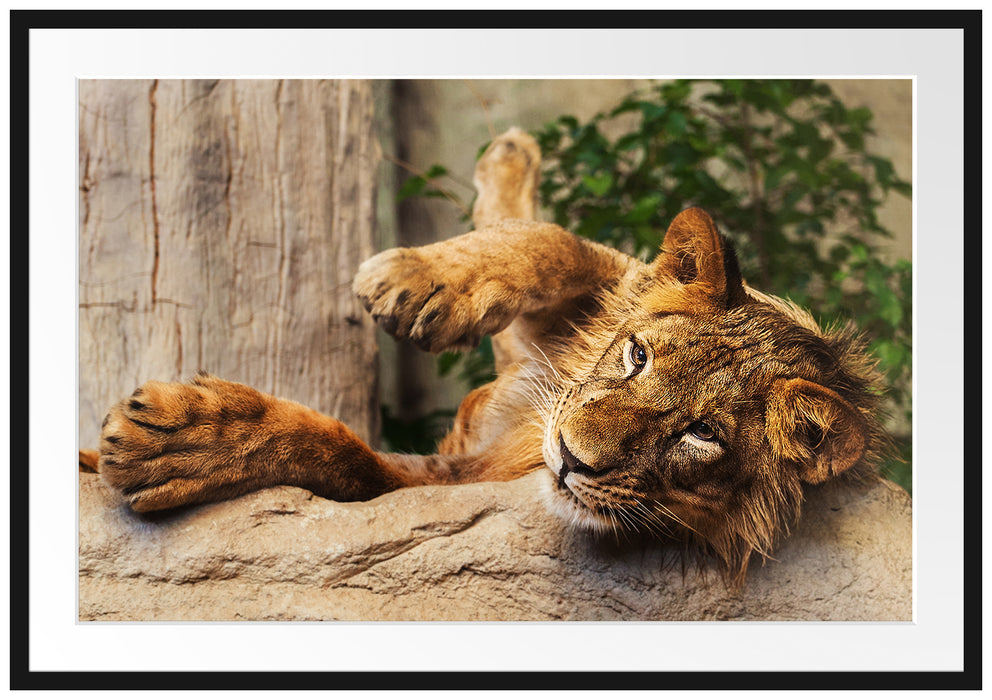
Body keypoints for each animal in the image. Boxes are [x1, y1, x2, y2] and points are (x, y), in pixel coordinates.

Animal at [83, 127, 886, 585]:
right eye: (635, 356)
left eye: (702, 436)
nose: (571, 456)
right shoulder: (597, 293)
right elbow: (551, 242)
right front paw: (412, 282)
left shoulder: (452, 483)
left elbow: (347, 458)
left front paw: (178, 443)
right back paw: (509, 153)